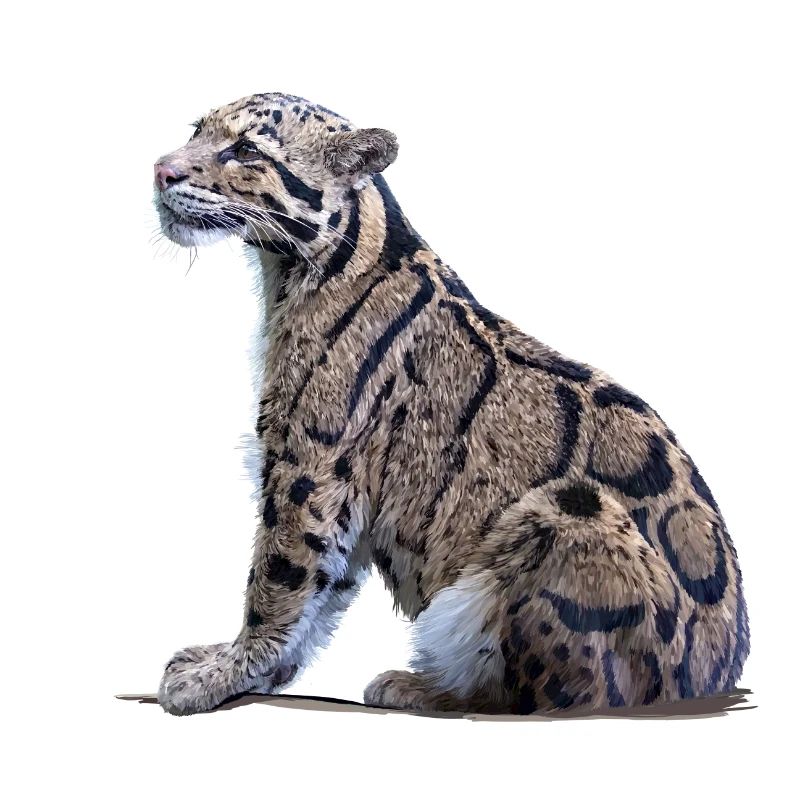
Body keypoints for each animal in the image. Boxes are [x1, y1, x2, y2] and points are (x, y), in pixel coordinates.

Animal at [153, 91, 749, 716]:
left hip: (570, 511)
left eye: (246, 150)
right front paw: (255, 669)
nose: (161, 171)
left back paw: (424, 685)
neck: (287, 274)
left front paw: (223, 672)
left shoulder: (309, 463)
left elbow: (280, 578)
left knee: (558, 695)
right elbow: (323, 589)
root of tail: (718, 674)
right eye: (196, 130)